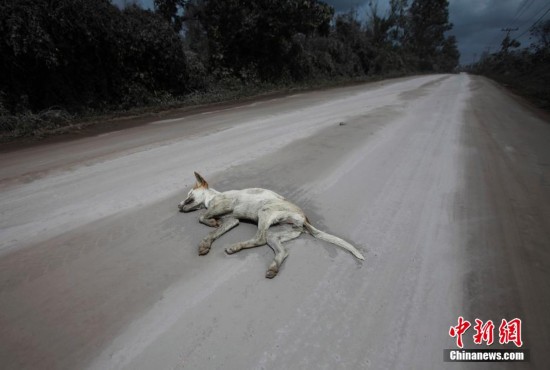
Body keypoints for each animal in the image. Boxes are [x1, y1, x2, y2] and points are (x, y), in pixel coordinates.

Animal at [179, 173, 364, 278]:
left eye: (189, 194)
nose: (178, 206)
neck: (212, 197)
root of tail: (304, 219)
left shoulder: (224, 206)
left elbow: (202, 217)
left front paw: (210, 222)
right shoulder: (232, 220)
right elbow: (213, 232)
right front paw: (205, 243)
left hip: (264, 212)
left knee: (259, 239)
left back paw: (236, 247)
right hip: (277, 234)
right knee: (283, 251)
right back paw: (273, 268)